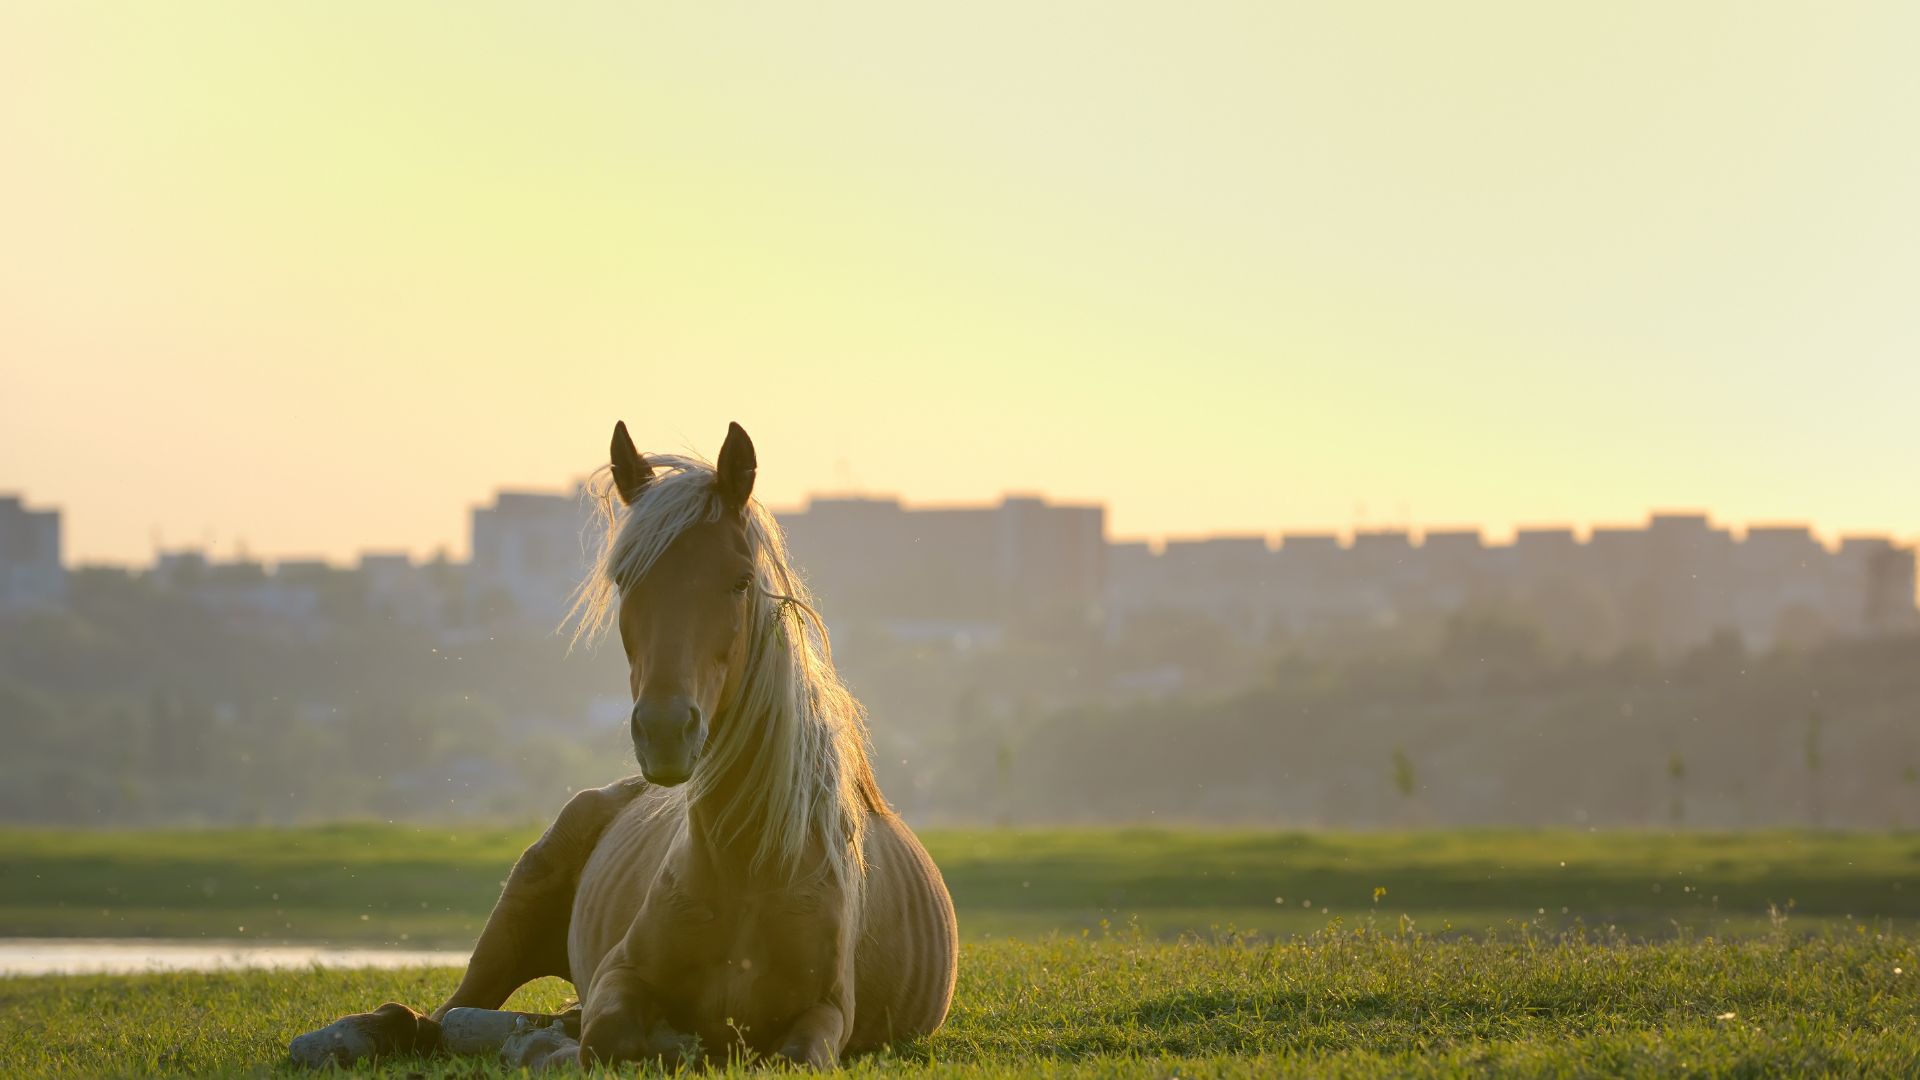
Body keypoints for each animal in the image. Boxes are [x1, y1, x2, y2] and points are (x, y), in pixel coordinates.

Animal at [288, 420, 956, 1068]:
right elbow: (608, 1036)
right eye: (624, 579)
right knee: (433, 1017)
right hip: (517, 912)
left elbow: (791, 1056)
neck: (751, 867)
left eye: (740, 580)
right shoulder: (619, 975)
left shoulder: (827, 1014)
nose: (664, 732)